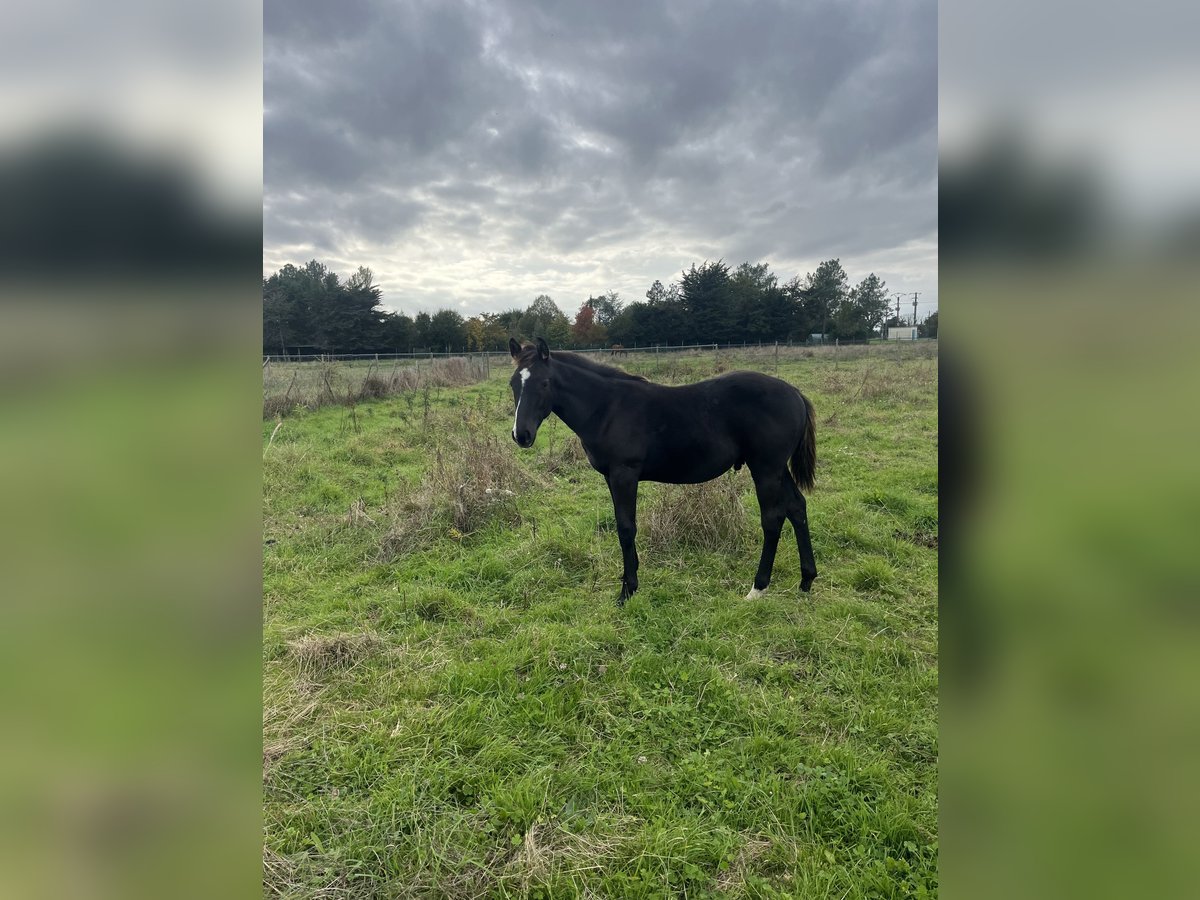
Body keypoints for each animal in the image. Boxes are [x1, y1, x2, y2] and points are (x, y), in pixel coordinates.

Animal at [506, 338, 816, 607]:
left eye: (544, 383)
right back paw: (806, 580)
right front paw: (630, 581)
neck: (607, 408)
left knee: (773, 518)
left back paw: (758, 588)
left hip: (766, 468)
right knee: (797, 508)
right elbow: (623, 526)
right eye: (513, 384)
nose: (521, 435)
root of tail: (795, 394)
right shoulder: (610, 477)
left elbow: (626, 528)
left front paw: (627, 591)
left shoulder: (624, 474)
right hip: (778, 469)